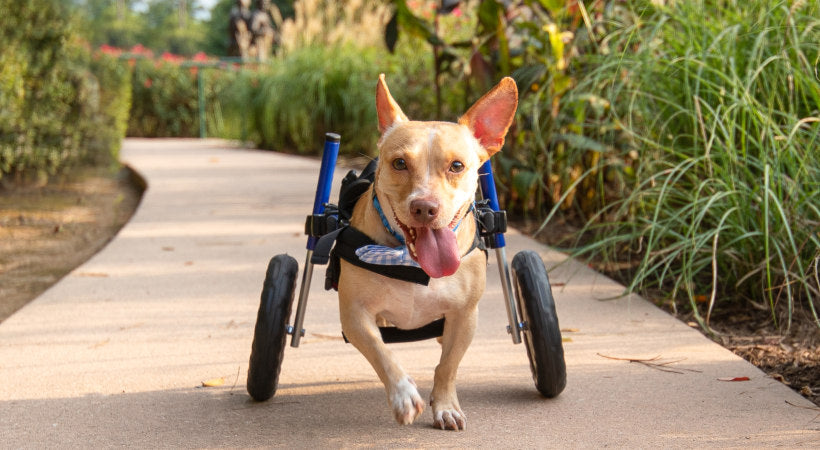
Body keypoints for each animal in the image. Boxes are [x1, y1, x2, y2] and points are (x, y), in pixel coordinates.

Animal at [334, 74, 516, 428]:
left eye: (457, 166)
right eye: (399, 163)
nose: (424, 207)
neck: (412, 263)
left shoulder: (464, 317)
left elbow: (447, 366)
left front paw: (444, 405)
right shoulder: (354, 314)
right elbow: (381, 352)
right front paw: (403, 395)